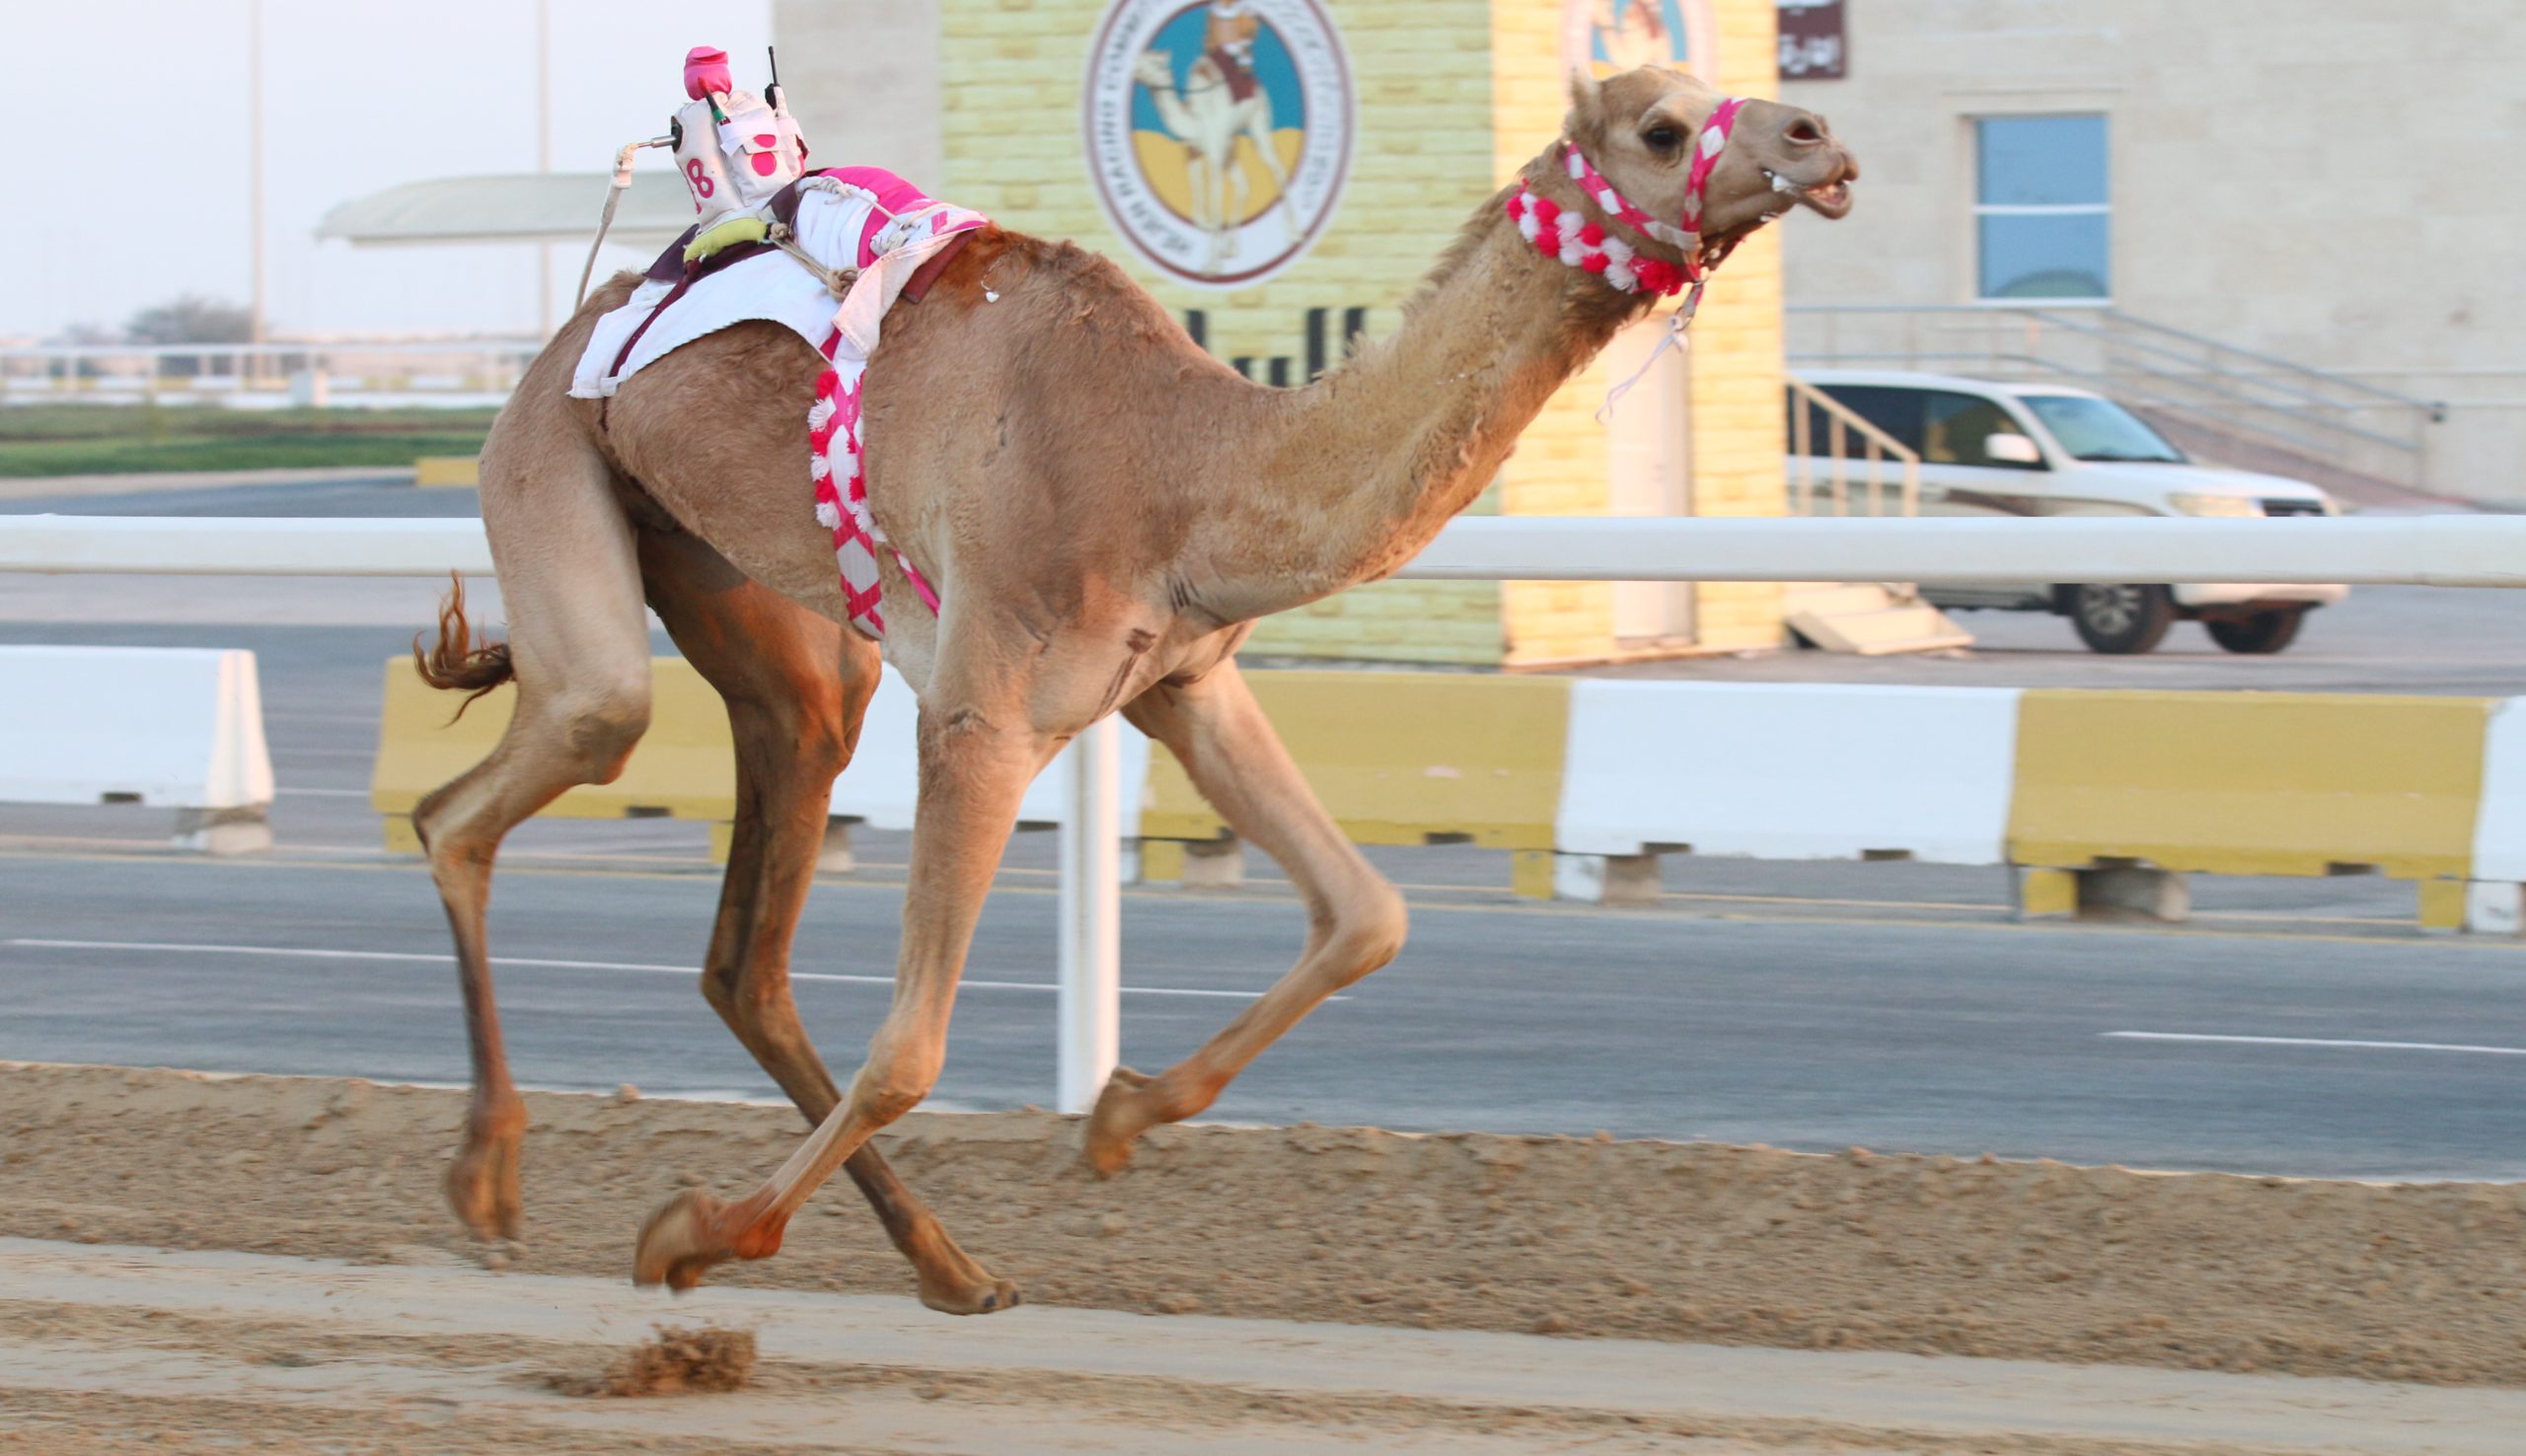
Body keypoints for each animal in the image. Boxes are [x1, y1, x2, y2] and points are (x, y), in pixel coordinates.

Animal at [413, 62, 1859, 1301]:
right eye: (1662, 128)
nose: (1820, 141)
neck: (1182, 465)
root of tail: (579, 323)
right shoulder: (983, 713)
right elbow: (911, 1049)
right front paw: (682, 1237)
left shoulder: (1185, 678)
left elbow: (1368, 914)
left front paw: (1116, 1115)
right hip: (550, 473)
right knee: (506, 780)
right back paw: (489, 1182)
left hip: (746, 601)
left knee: (743, 942)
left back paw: (947, 1265)